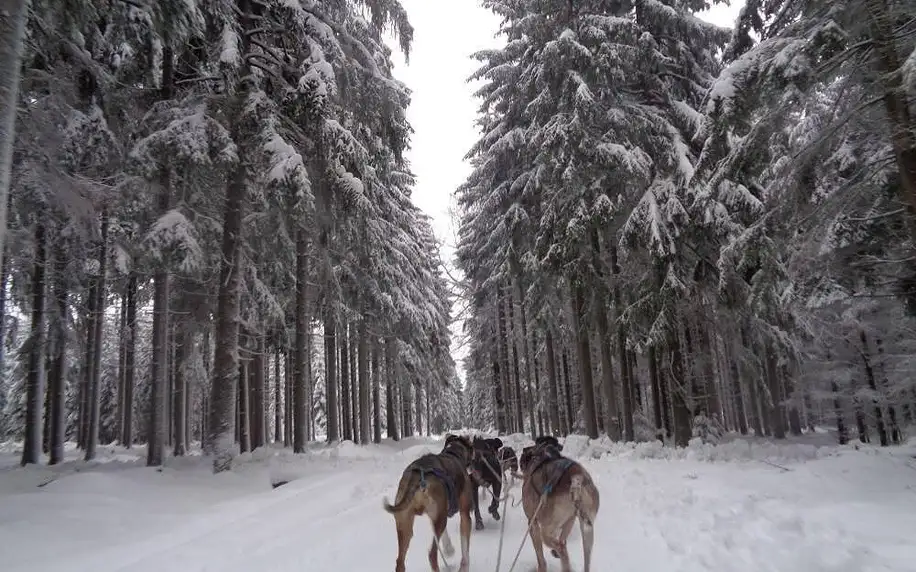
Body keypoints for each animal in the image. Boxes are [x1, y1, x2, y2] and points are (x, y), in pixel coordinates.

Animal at [382, 434, 476, 572]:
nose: (472, 465)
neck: (453, 453)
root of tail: (418, 477)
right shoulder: (464, 515)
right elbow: (465, 551)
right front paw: (464, 565)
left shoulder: (437, 515)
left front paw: (449, 549)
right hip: (439, 520)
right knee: (432, 555)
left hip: (405, 525)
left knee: (400, 562)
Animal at [524, 436, 600, 568]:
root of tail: (576, 479)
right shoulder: (570, 519)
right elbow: (563, 536)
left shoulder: (532, 524)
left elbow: (540, 557)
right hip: (588, 530)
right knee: (583, 558)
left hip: (546, 530)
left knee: (561, 549)